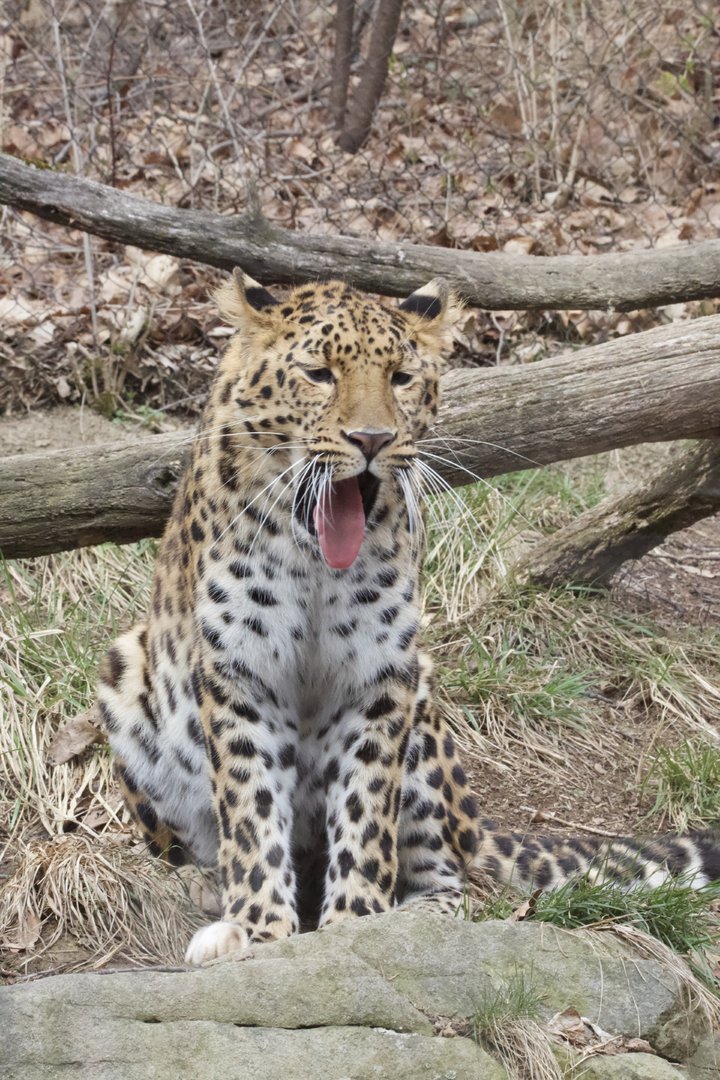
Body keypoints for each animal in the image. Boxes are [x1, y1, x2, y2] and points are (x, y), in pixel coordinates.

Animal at [98, 270, 720, 966]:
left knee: (451, 880)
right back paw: (208, 893)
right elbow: (252, 809)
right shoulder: (239, 673)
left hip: (425, 713)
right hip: (125, 672)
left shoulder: (381, 675)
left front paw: (359, 925)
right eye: (318, 374)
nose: (372, 441)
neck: (316, 562)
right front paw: (257, 927)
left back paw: (417, 918)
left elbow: (366, 808)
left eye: (400, 377)